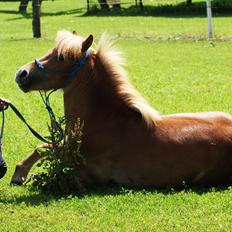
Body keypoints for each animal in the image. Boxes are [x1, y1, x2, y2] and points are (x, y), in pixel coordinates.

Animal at [11, 29, 232, 188]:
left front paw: (24, 176)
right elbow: (44, 147)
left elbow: (47, 158)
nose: (22, 73)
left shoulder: (86, 176)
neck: (104, 121)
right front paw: (19, 174)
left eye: (62, 57)